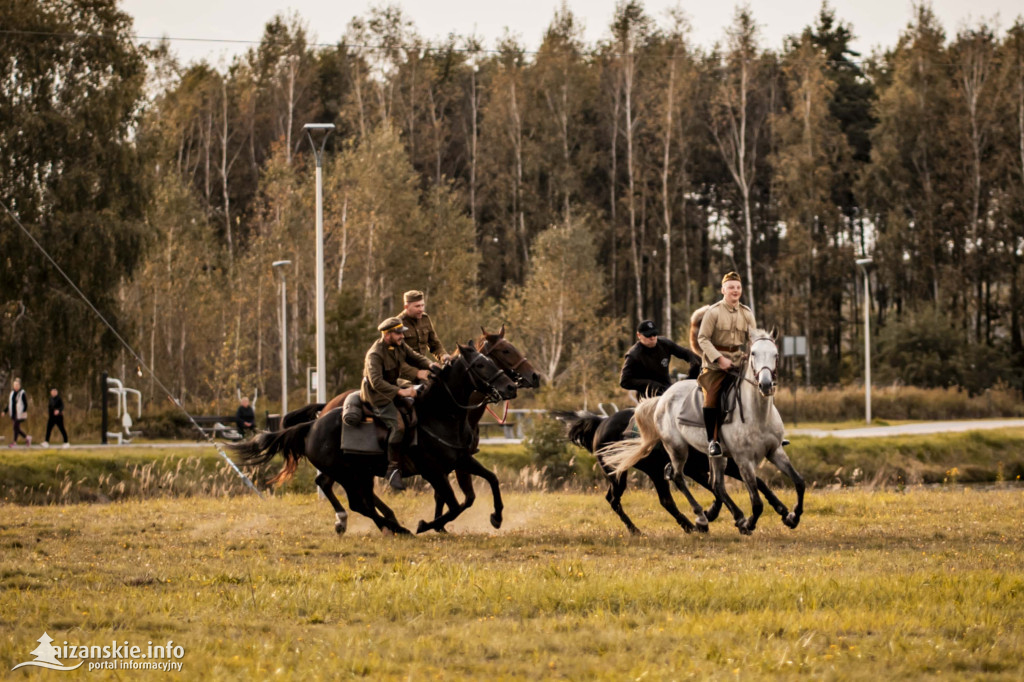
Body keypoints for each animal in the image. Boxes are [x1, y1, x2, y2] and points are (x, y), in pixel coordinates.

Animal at [552, 403, 798, 532]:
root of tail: (601, 423)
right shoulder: (703, 468)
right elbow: (720, 489)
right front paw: (712, 514)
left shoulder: (708, 468)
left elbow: (744, 485)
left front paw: (783, 511)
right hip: (623, 474)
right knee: (623, 499)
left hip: (646, 472)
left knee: (658, 500)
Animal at [602, 329, 802, 536]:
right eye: (753, 353)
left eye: (776, 354)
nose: (765, 384)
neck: (757, 414)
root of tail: (662, 399)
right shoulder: (742, 460)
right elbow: (756, 501)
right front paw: (748, 523)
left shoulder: (774, 451)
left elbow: (798, 482)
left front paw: (791, 516)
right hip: (674, 453)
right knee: (675, 480)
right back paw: (700, 518)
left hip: (712, 456)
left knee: (714, 485)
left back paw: (727, 517)